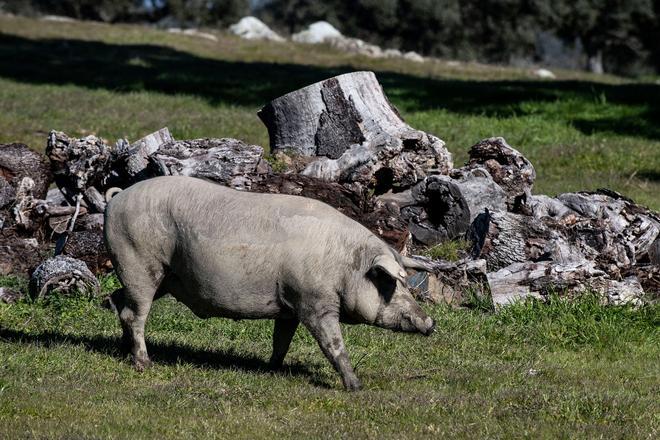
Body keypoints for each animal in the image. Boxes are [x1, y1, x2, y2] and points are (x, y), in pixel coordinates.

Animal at [104, 174, 434, 388]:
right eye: (389, 283)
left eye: (405, 284)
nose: (431, 323)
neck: (344, 265)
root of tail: (117, 197)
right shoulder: (314, 302)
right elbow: (333, 344)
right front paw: (355, 386)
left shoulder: (289, 306)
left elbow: (282, 340)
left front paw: (272, 369)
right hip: (138, 262)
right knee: (134, 313)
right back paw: (144, 363)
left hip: (163, 278)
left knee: (118, 303)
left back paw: (123, 351)